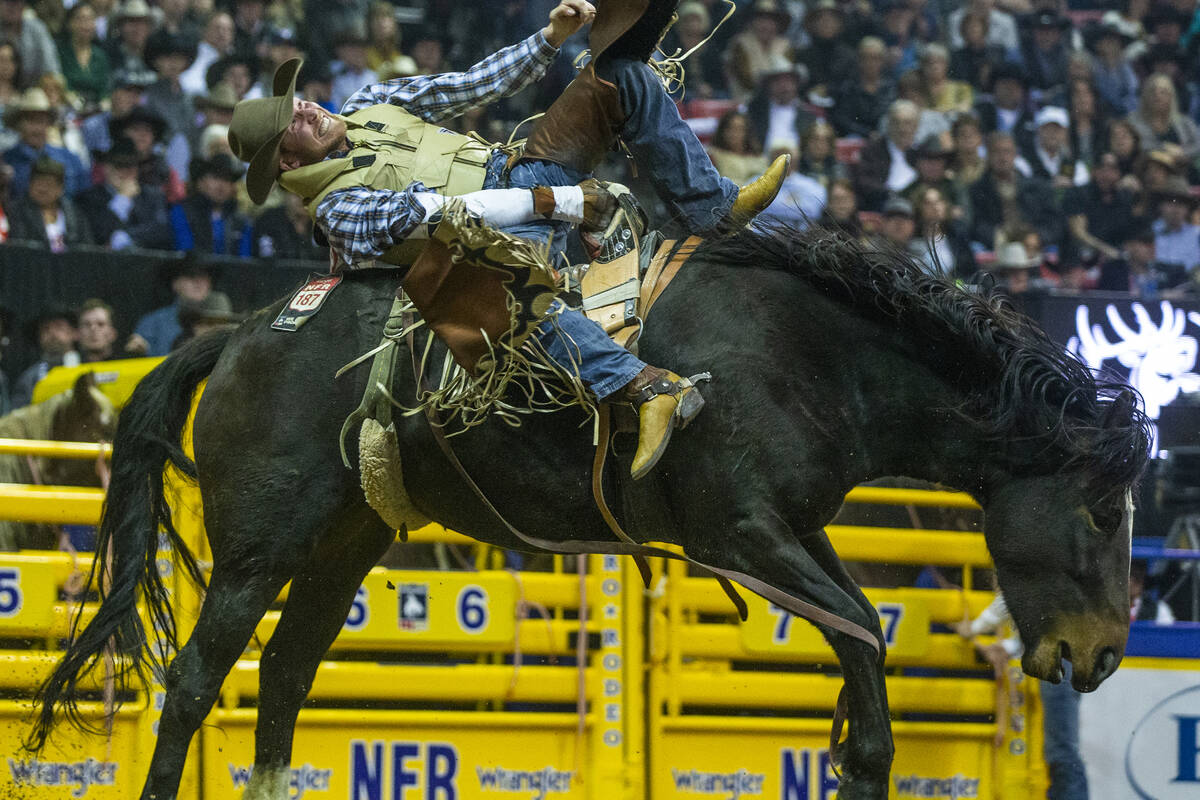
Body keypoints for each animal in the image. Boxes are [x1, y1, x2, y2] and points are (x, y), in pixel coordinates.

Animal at [30, 225, 1152, 800]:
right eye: (1103, 511)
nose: (1101, 652)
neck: (816, 354)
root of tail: (242, 330)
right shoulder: (738, 533)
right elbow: (863, 630)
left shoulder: (791, 528)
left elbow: (859, 637)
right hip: (259, 544)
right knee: (193, 680)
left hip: (348, 538)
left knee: (285, 674)